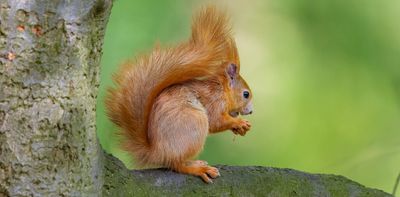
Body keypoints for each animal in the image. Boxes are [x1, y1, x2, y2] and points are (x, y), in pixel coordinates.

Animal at [104, 6, 252, 183]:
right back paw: (198, 168)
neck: (221, 90)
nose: (251, 111)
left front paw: (239, 127)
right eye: (246, 94)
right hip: (195, 124)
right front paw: (239, 123)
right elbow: (216, 121)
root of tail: (157, 152)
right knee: (177, 164)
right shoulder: (214, 101)